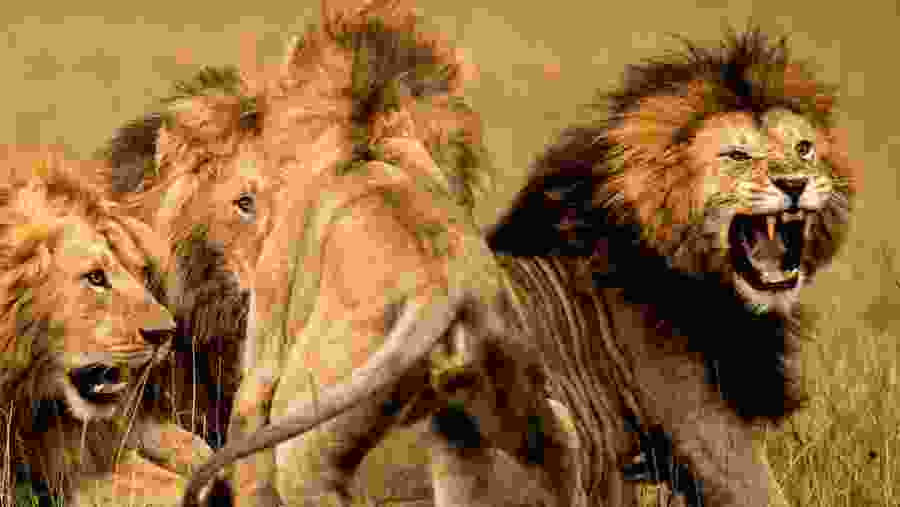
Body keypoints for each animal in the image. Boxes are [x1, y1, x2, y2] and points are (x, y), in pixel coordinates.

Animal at [180, 24, 859, 507]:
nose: (795, 181)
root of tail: (442, 293)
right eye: (737, 154)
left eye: (803, 147)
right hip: (515, 429)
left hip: (317, 435)